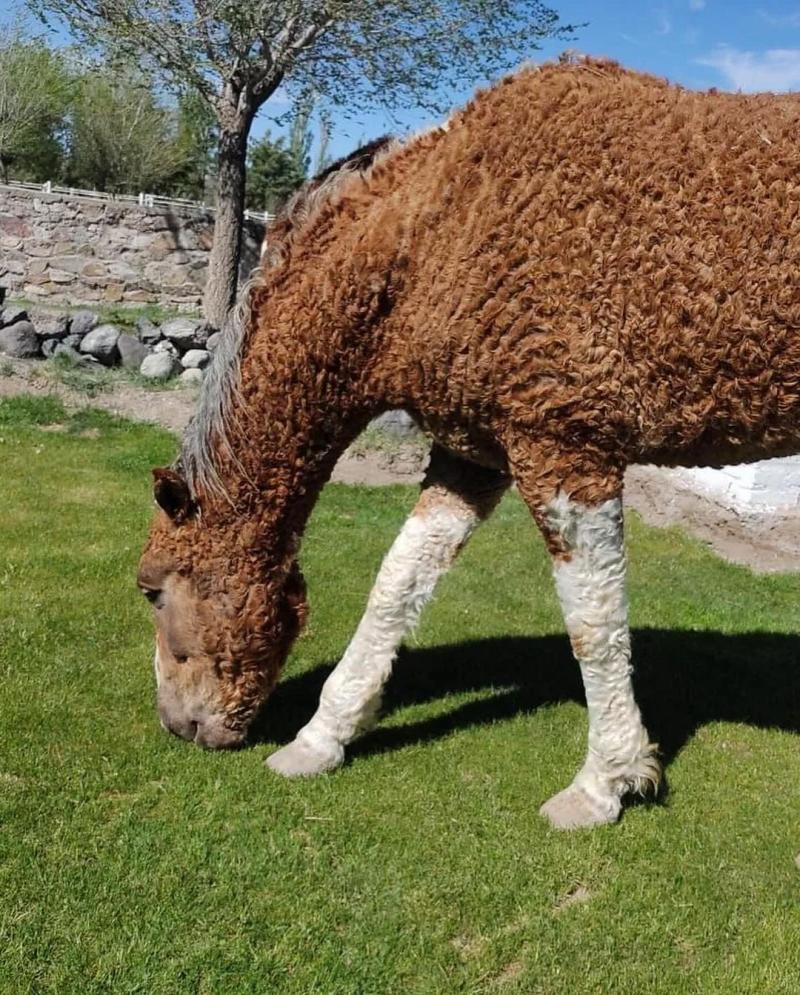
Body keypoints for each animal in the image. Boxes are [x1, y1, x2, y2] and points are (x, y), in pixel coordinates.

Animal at [138, 57, 800, 829]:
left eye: (153, 592)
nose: (178, 725)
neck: (436, 232)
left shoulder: (565, 448)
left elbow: (594, 622)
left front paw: (605, 782)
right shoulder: (472, 456)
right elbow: (395, 585)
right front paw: (322, 737)